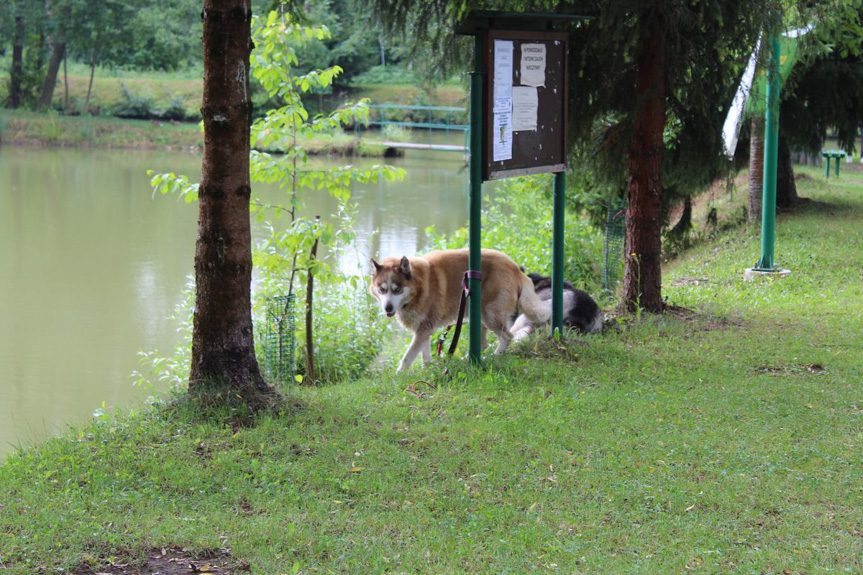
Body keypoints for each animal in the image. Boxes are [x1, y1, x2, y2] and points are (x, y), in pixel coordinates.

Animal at [368, 250, 552, 372]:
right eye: (382, 289)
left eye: (397, 289)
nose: (388, 308)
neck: (418, 288)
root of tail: (515, 269)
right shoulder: (424, 328)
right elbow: (424, 354)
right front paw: (427, 370)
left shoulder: (424, 328)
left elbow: (408, 357)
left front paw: (399, 375)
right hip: (476, 314)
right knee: (484, 343)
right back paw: (466, 359)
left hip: (489, 313)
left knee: (507, 336)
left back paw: (496, 355)